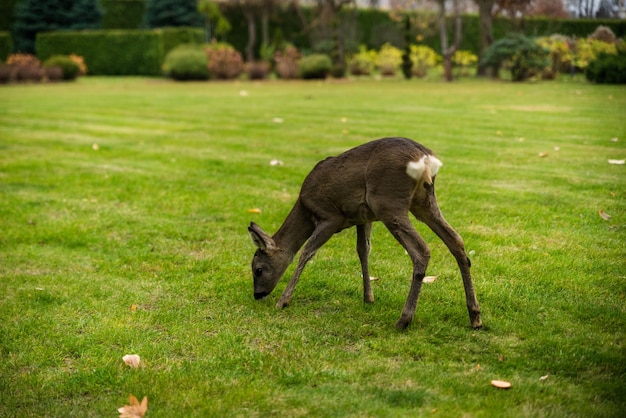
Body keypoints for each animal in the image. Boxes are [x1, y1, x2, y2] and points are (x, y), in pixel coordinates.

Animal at [246, 137, 480, 330]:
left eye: (258, 269)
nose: (257, 294)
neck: (305, 209)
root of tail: (425, 159)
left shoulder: (330, 217)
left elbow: (306, 252)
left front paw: (283, 301)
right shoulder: (363, 218)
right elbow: (363, 250)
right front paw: (369, 297)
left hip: (388, 202)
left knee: (421, 250)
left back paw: (403, 320)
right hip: (423, 202)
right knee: (456, 241)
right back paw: (475, 316)